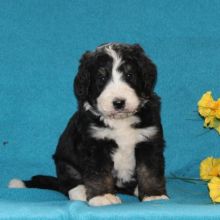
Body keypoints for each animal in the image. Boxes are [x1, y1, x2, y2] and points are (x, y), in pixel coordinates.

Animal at [8, 42, 167, 206]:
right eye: (101, 78)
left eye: (130, 75)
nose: (119, 102)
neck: (119, 121)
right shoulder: (95, 144)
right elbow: (98, 173)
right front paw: (103, 196)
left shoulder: (149, 141)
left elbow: (149, 171)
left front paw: (153, 195)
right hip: (65, 164)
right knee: (68, 184)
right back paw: (81, 192)